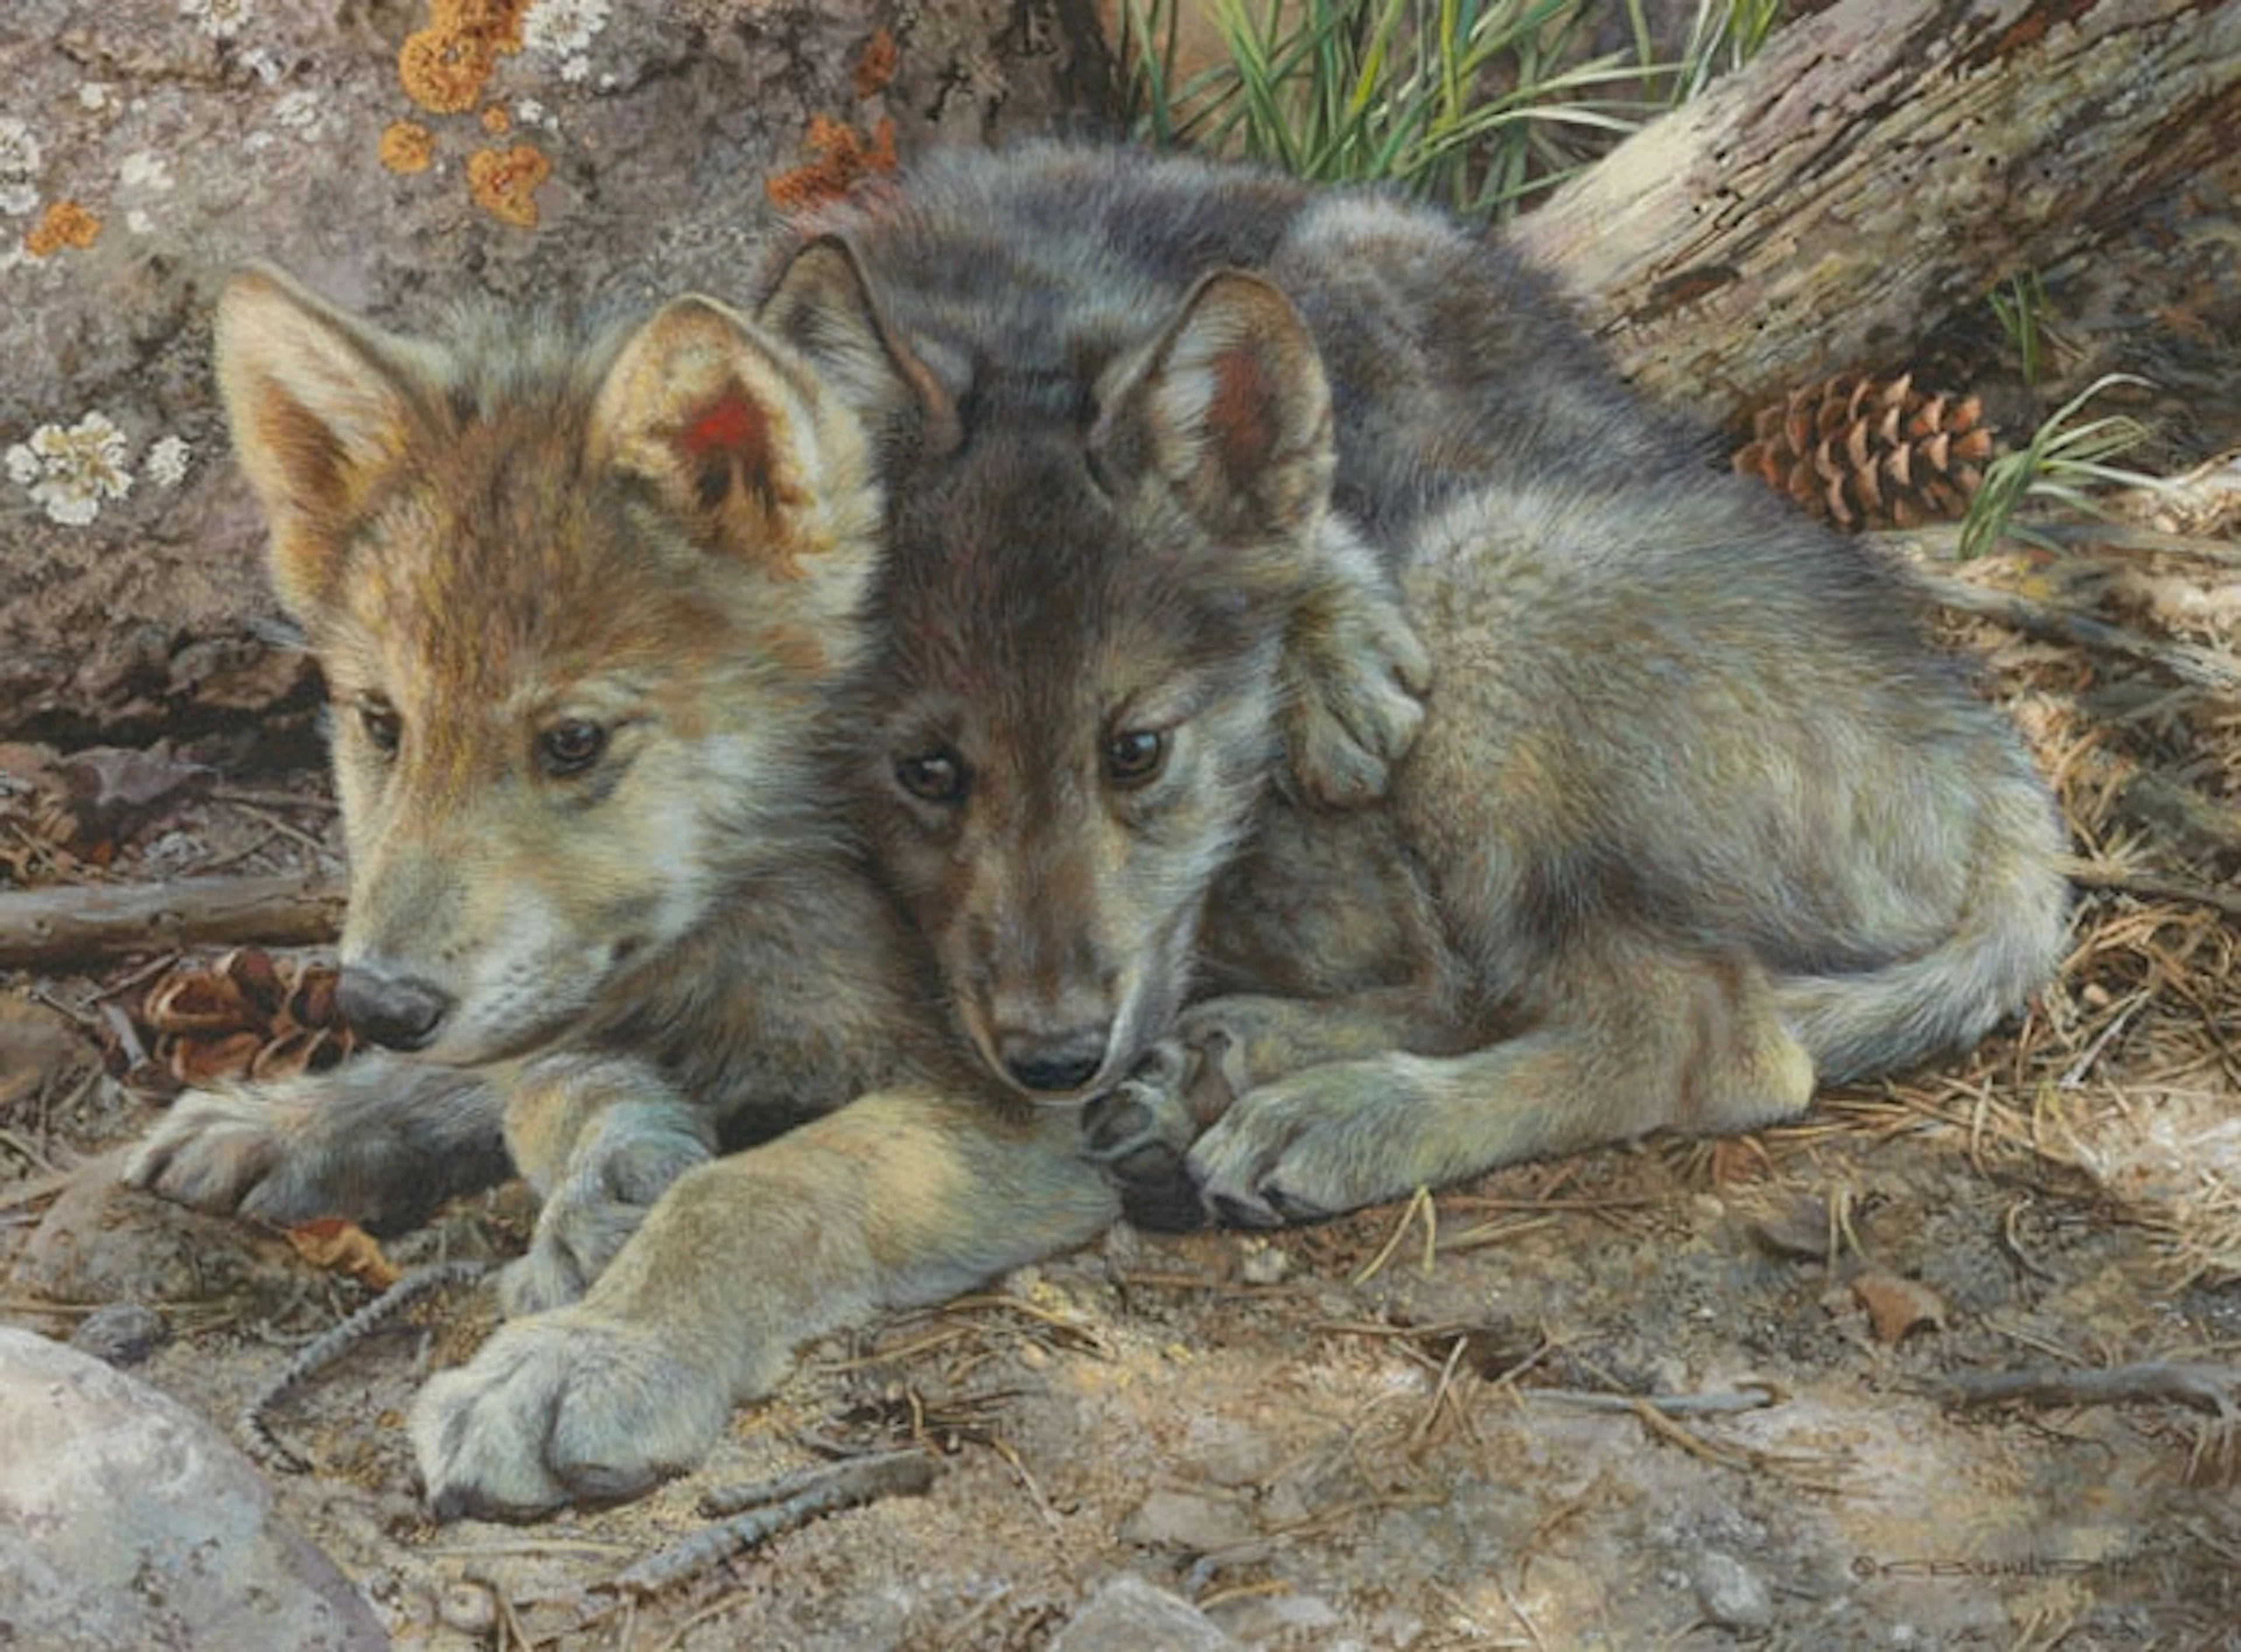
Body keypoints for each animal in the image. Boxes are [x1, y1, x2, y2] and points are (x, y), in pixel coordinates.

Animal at [117, 241, 1425, 1515]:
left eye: (573, 741)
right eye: (382, 725)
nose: (378, 1000)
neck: (755, 896)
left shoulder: (1000, 1111)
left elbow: (750, 1192)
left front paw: (584, 1356)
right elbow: (530, 1083)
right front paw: (336, 1118)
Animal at [783, 142, 2070, 1226]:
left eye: (1136, 752)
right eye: (928, 771)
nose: (1053, 1059)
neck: (1023, 298)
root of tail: (1974, 744)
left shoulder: (1347, 281)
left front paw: (1334, 634)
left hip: (1482, 583)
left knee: (1703, 1039)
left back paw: (1341, 1115)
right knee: (1498, 991)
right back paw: (1224, 1062)